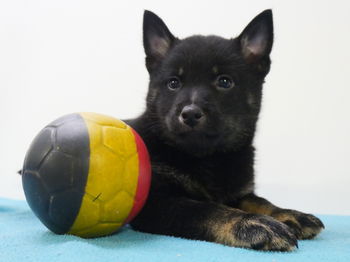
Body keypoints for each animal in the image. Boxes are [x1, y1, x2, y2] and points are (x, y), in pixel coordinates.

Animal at [125, 10, 322, 252]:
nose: (190, 114)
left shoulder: (240, 192)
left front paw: (289, 213)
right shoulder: (156, 201)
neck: (209, 157)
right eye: (173, 83)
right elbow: (206, 209)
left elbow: (259, 201)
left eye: (225, 81)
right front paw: (250, 223)